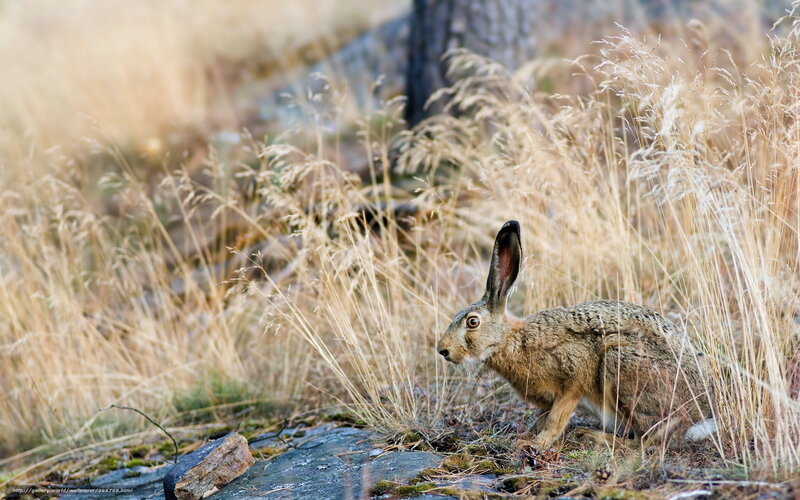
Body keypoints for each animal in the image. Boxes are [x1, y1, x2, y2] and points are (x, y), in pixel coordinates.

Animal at [437, 220, 715, 449]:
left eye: (472, 322)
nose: (443, 350)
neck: (511, 339)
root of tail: (700, 417)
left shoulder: (574, 378)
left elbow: (557, 418)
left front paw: (536, 444)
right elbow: (543, 417)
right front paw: (525, 435)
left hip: (621, 365)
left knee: (648, 441)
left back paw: (593, 436)